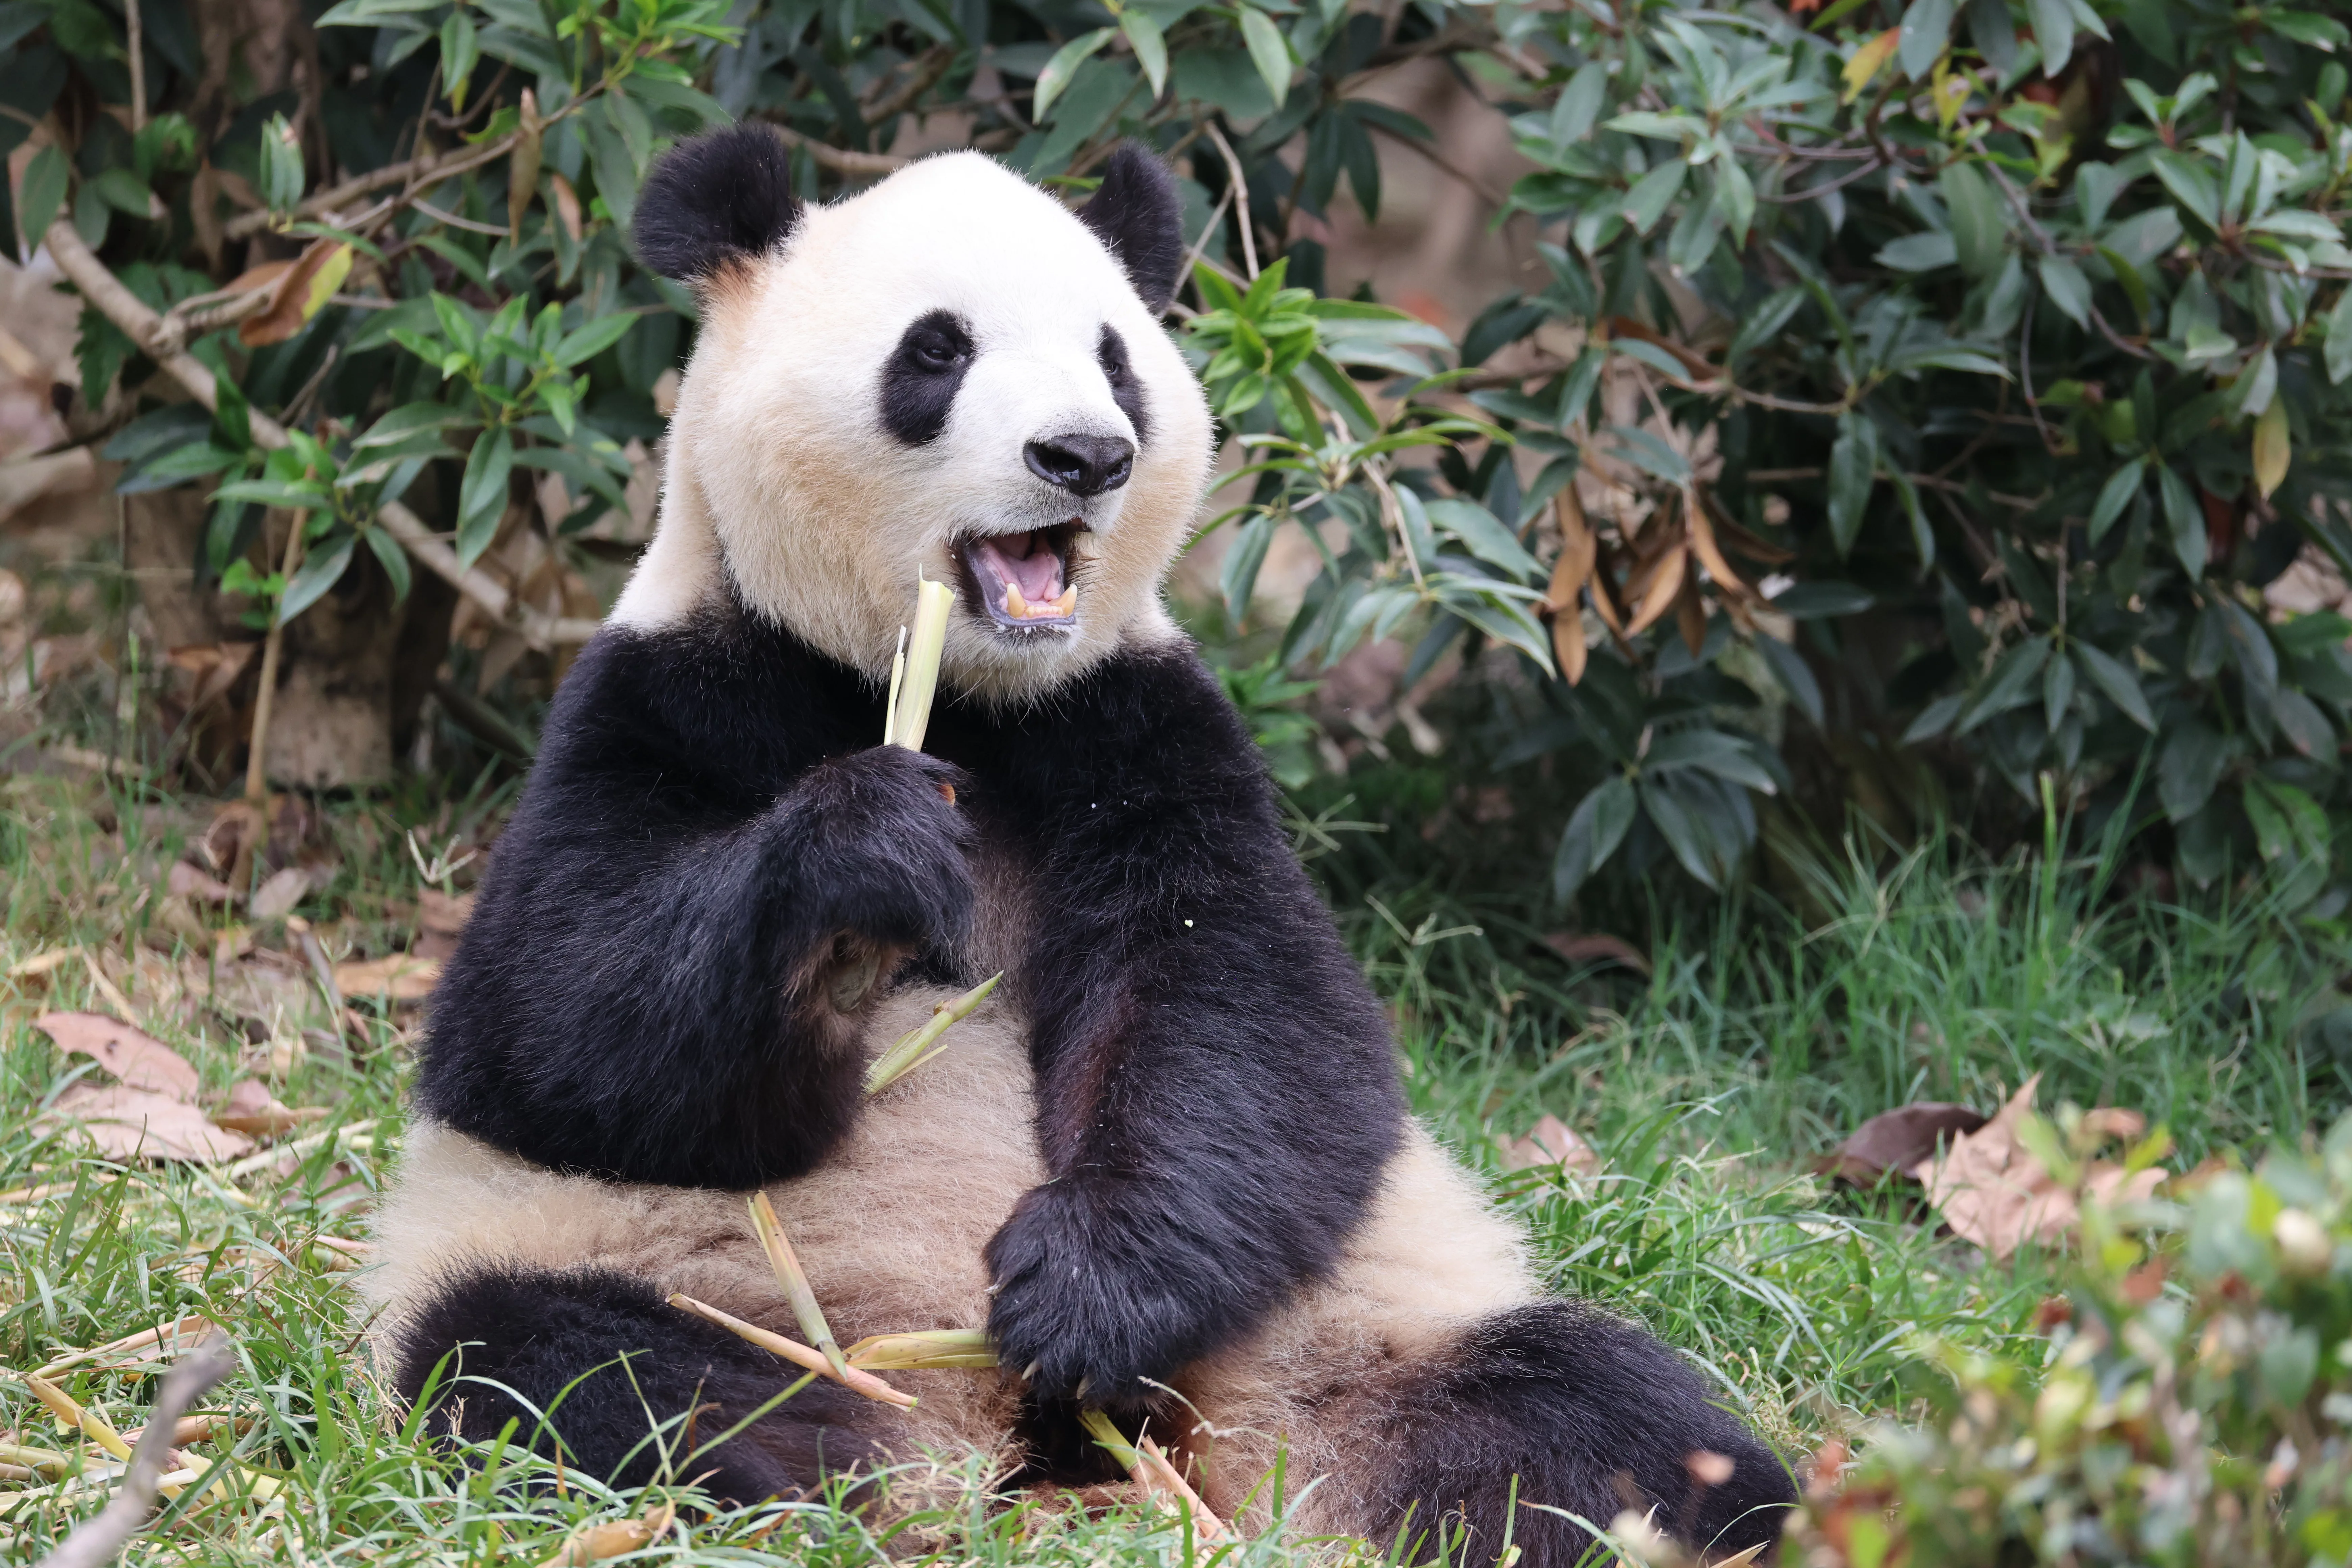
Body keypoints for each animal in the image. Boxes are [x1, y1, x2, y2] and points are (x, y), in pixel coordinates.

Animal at [363, 125, 1796, 1564]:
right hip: (674, 1272)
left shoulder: (1137, 726)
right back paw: (811, 1487)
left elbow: (1245, 1012)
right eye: (935, 350)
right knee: (561, 1368)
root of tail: (1001, 1436)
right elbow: (551, 1020)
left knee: (1592, 1414)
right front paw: (863, 865)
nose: (1084, 454)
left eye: (1117, 360)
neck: (959, 691)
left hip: (1341, 1319)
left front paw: (1088, 1289)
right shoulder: (669, 689)